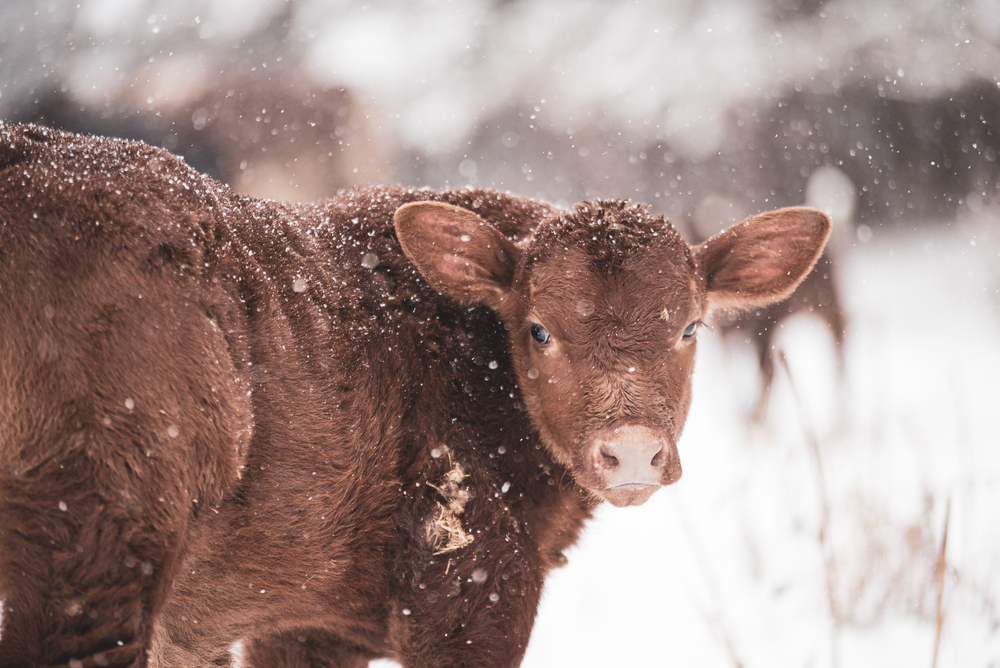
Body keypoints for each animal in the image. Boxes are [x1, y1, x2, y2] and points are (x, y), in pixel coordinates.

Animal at [0, 124, 828, 668]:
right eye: (539, 329)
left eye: (690, 326)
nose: (629, 451)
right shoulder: (471, 593)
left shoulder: (304, 624)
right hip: (93, 543)